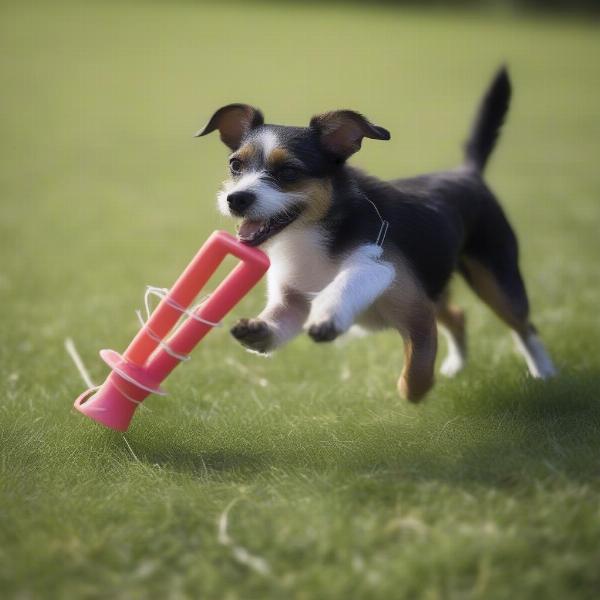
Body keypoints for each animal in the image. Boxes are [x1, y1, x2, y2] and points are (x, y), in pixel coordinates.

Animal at [195, 67, 556, 404]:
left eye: (289, 172)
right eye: (235, 165)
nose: (236, 199)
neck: (312, 235)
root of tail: (468, 172)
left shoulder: (413, 308)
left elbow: (416, 370)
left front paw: (411, 388)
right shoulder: (292, 300)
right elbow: (280, 320)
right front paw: (258, 331)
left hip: (495, 278)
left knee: (523, 325)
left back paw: (543, 371)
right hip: (436, 282)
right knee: (458, 315)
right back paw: (456, 366)